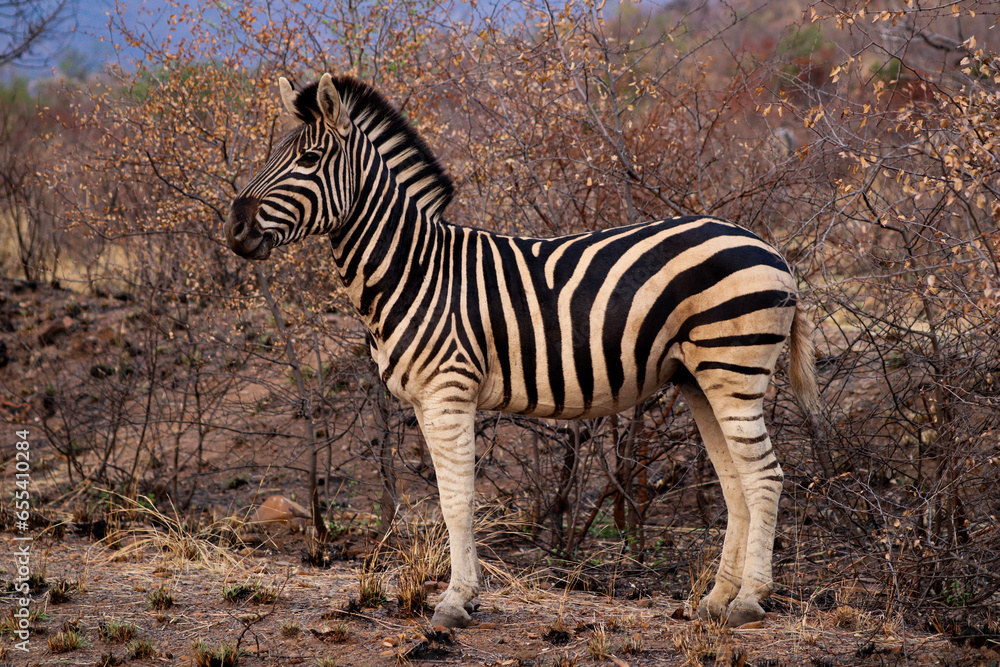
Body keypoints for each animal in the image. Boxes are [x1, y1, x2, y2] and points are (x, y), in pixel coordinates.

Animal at [224, 74, 819, 629]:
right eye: (273, 154)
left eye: (309, 159)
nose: (234, 228)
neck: (414, 270)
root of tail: (772, 249)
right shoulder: (423, 399)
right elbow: (450, 496)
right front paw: (463, 596)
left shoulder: (448, 390)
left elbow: (457, 500)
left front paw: (456, 602)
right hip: (700, 377)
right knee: (737, 484)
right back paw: (715, 601)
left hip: (734, 366)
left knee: (765, 477)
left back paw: (748, 602)